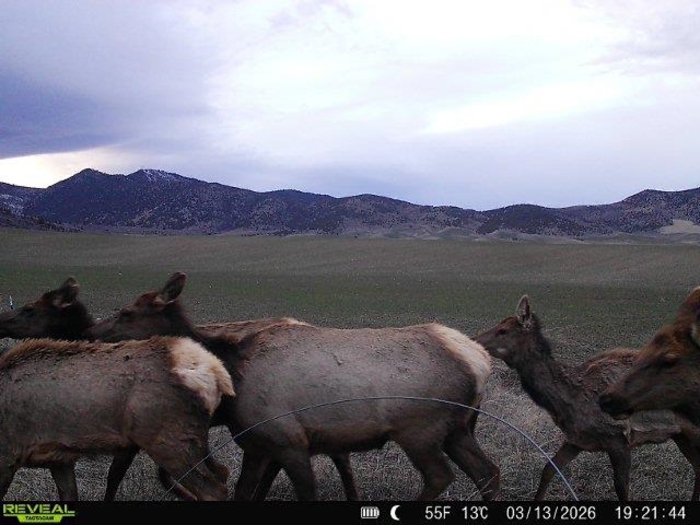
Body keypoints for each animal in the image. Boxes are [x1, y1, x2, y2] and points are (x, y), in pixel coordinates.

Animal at [0, 335, 234, 501]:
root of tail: (217, 374)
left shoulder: (8, 455)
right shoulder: (59, 458)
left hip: (170, 442)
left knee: (213, 490)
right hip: (194, 439)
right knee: (223, 472)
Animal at [84, 271, 501, 501]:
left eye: (127, 313)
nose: (90, 332)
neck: (234, 375)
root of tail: (479, 361)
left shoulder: (289, 441)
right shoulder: (259, 445)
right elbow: (242, 494)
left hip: (419, 429)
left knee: (441, 476)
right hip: (457, 429)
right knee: (488, 473)